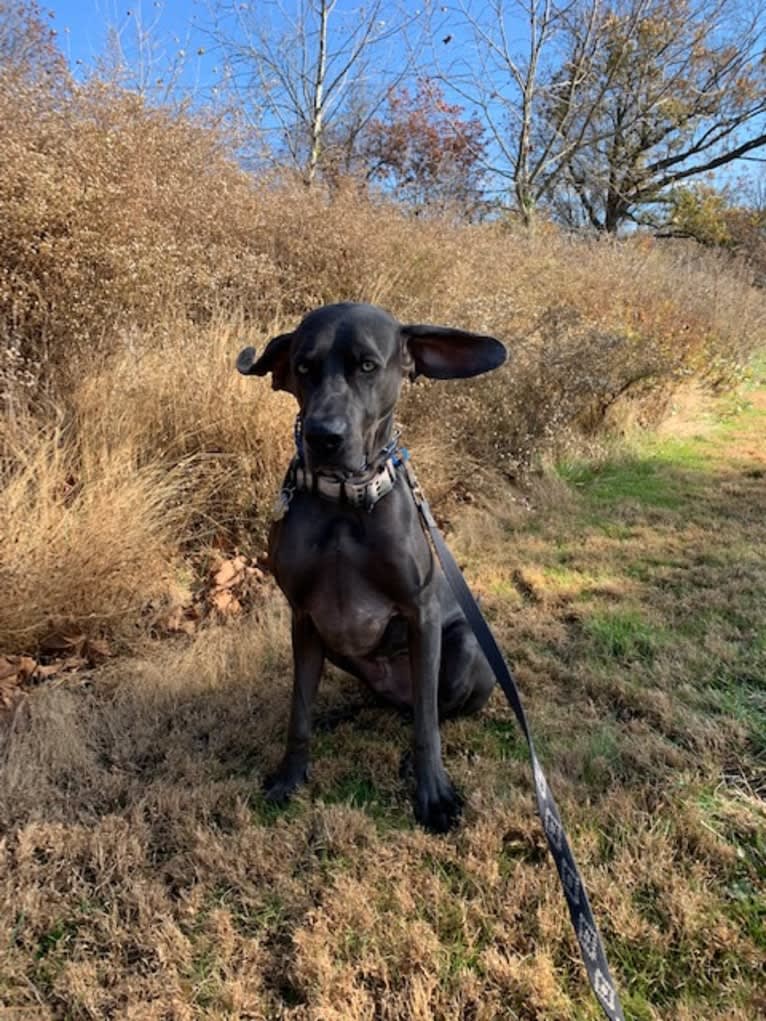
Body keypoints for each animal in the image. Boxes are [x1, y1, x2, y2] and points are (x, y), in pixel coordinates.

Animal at [236, 300, 506, 829]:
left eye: (367, 365)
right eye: (304, 367)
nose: (323, 437)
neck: (344, 501)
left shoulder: (421, 613)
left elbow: (427, 726)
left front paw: (433, 794)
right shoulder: (304, 617)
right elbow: (299, 710)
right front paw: (289, 778)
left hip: (467, 648)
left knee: (427, 710)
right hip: (340, 647)